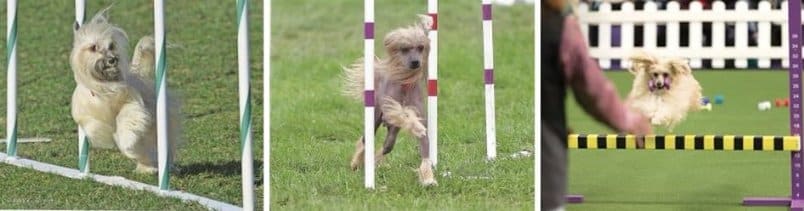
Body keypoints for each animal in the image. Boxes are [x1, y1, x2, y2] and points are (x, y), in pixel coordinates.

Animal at [70, 7, 181, 173]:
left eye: (111, 46)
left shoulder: (132, 103)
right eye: (93, 47)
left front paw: (125, 139)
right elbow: (93, 125)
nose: (112, 59)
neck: (105, 87)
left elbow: (127, 118)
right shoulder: (87, 112)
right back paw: (147, 166)